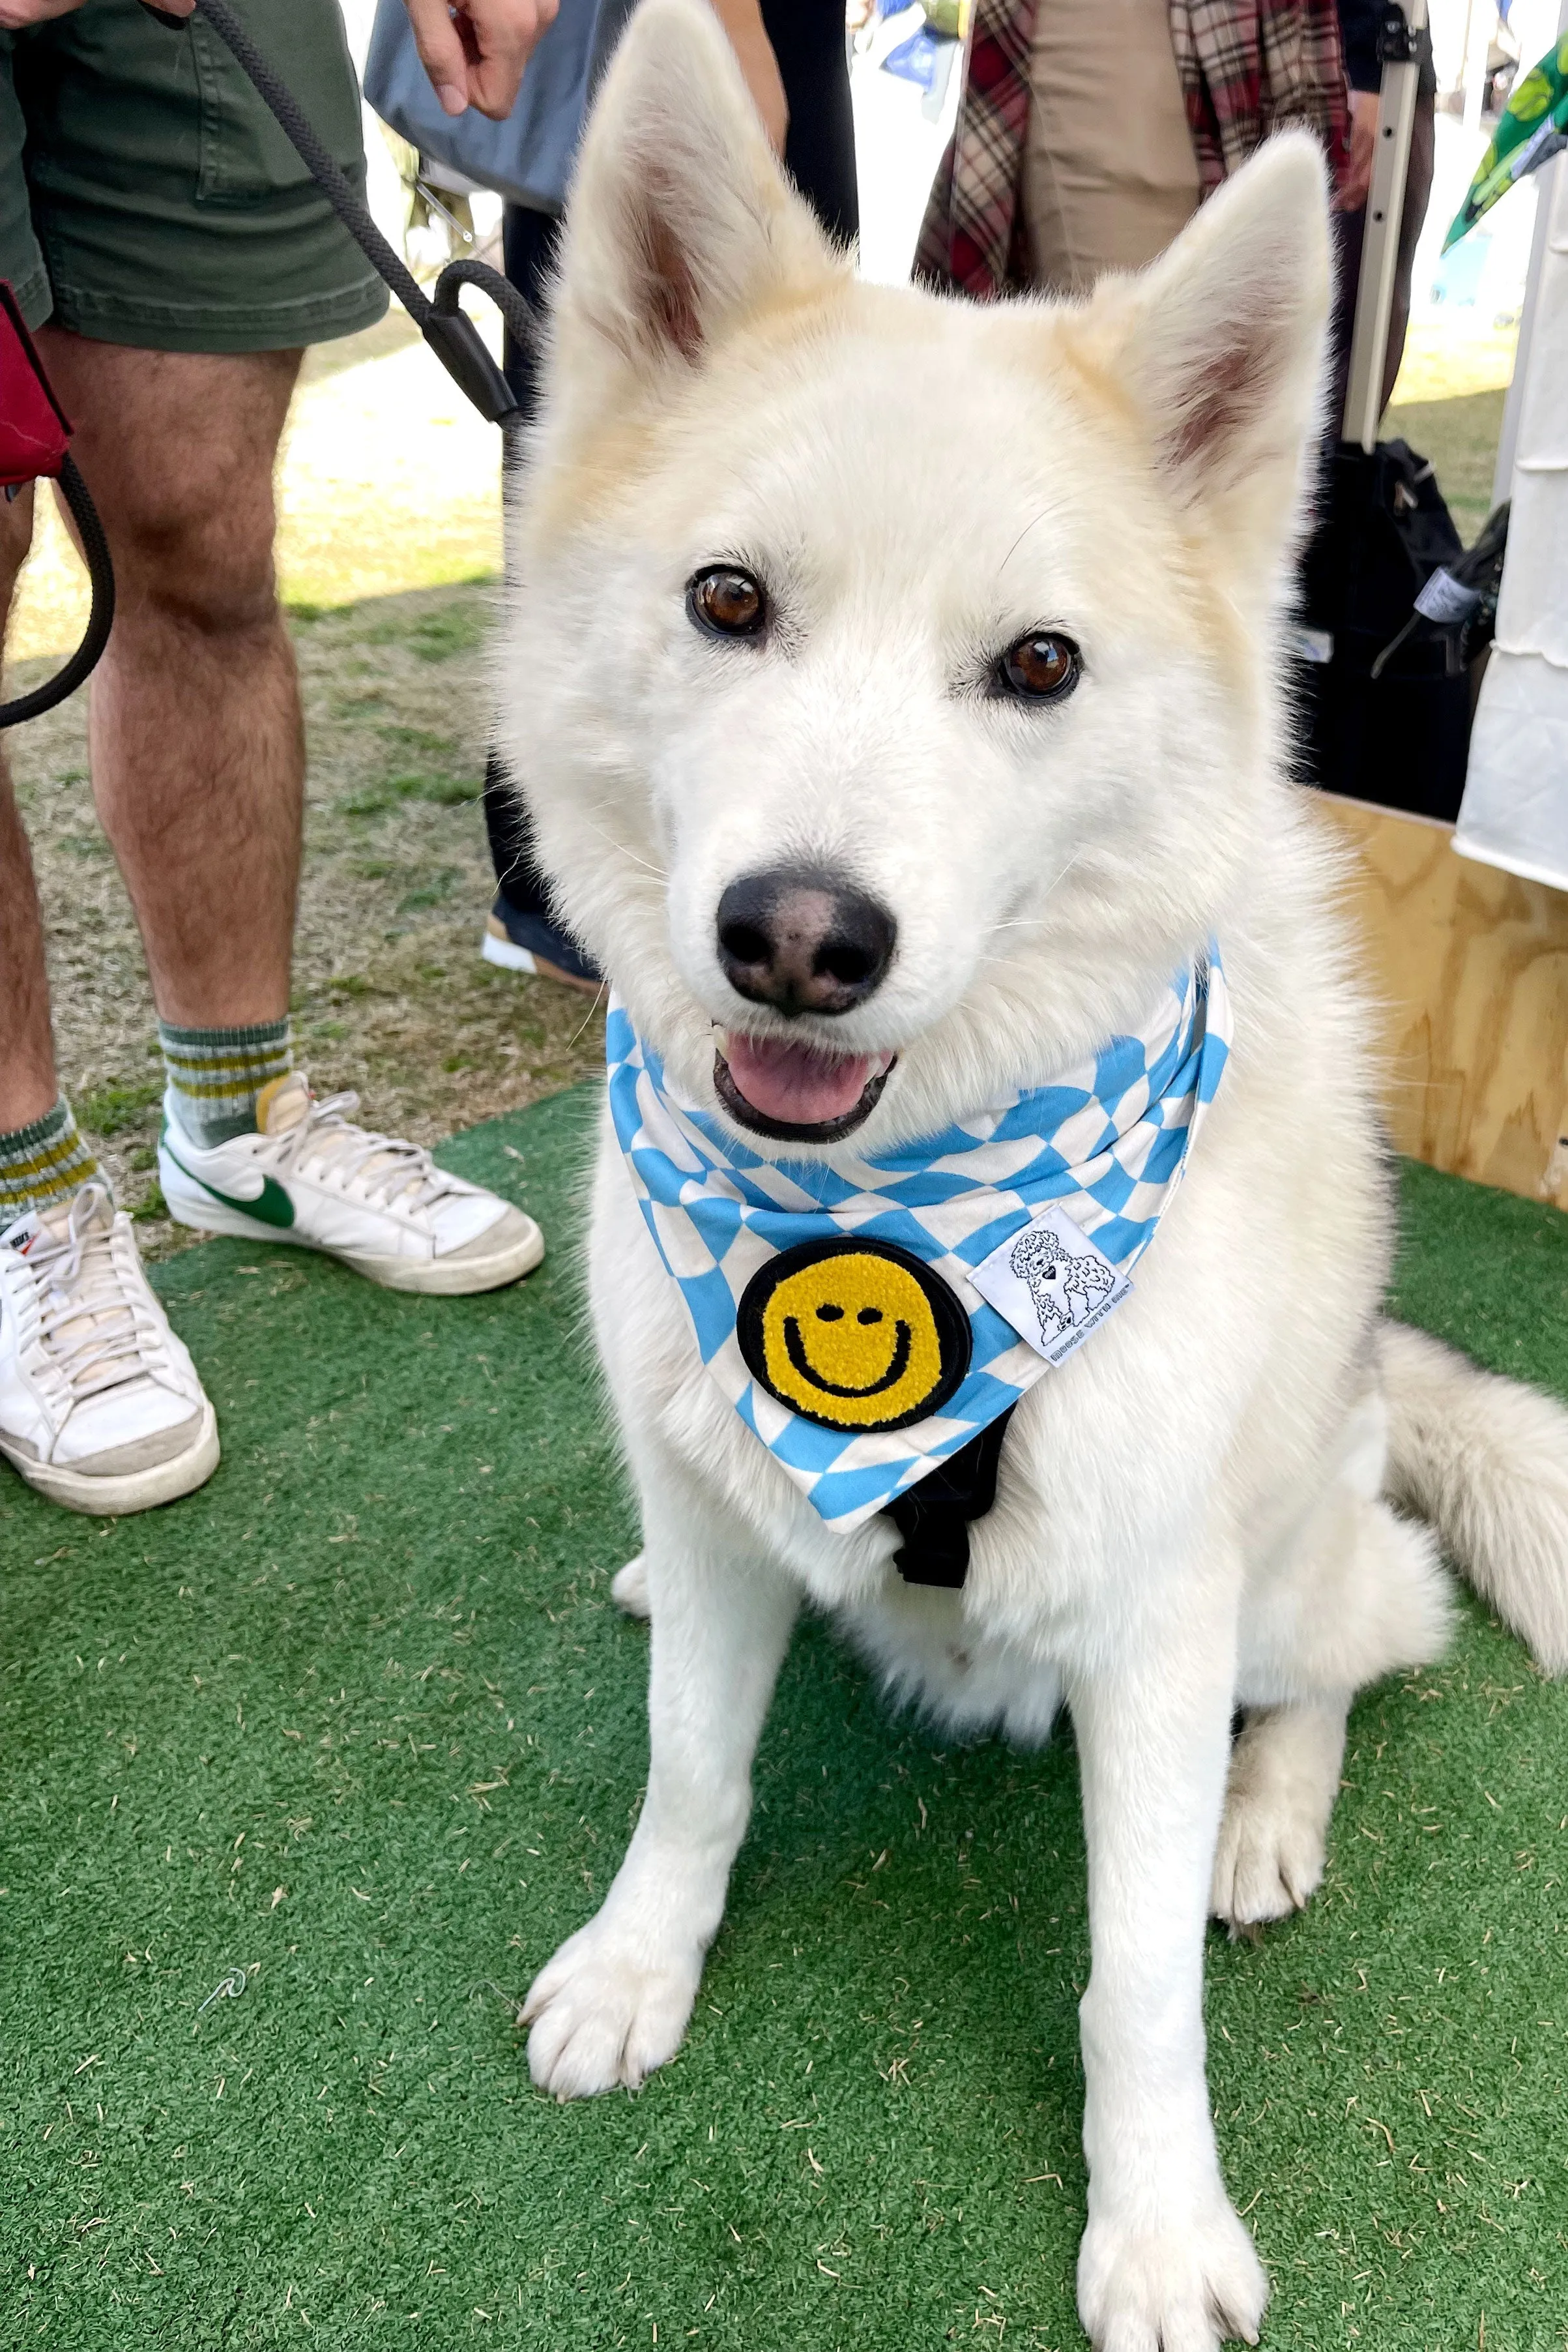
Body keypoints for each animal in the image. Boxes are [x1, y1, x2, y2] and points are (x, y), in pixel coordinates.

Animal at [501, 9, 1568, 2342]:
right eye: (729, 601)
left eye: (1039, 666)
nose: (799, 938)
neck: (904, 1213)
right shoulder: (714, 1513)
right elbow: (690, 1767)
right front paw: (637, 1964)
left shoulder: (1154, 1627)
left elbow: (1134, 1981)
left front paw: (1155, 2224)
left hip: (1289, 1565)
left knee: (1360, 1647)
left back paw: (1269, 1817)